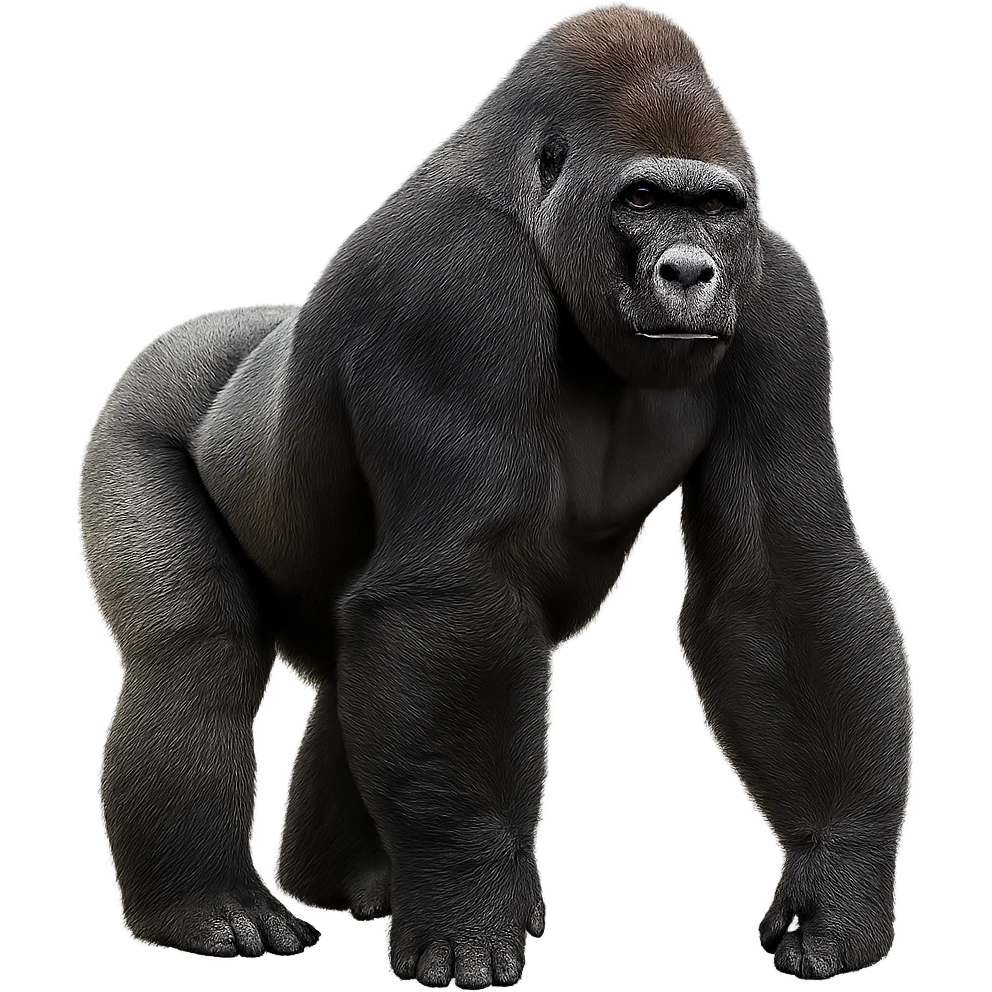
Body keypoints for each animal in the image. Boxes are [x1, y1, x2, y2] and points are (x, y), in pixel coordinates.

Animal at [78, 4, 911, 985]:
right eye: (641, 199)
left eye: (714, 208)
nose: (689, 272)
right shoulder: (456, 283)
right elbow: (456, 582)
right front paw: (472, 909)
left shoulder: (781, 301)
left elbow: (783, 581)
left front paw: (836, 883)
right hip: (140, 405)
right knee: (197, 653)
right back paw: (207, 906)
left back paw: (353, 876)